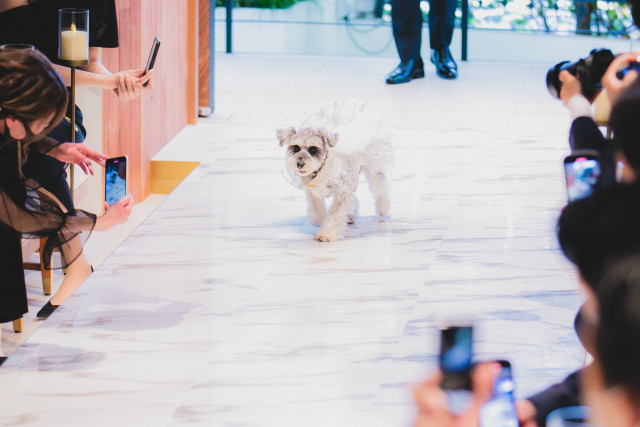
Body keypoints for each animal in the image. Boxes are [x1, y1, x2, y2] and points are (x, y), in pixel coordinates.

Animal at [276, 98, 392, 242]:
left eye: (313, 149)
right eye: (296, 148)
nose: (300, 164)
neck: (321, 170)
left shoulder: (341, 193)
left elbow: (335, 216)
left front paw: (326, 234)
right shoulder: (313, 192)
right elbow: (316, 209)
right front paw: (319, 221)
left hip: (372, 168)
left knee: (381, 188)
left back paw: (383, 209)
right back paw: (351, 216)